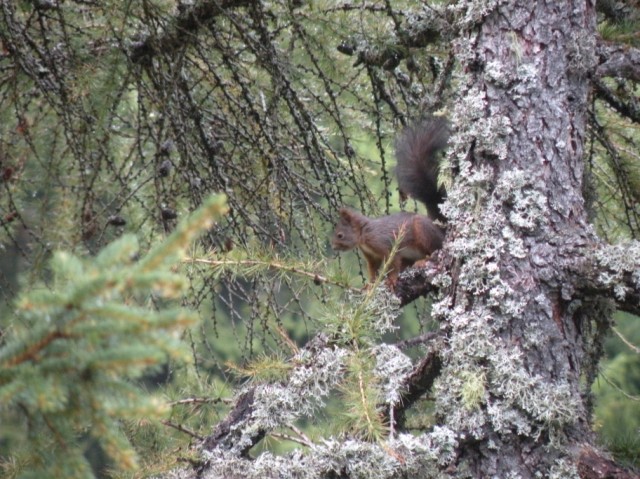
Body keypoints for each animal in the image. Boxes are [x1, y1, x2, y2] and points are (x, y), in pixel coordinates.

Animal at [332, 117, 448, 286]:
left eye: (340, 235)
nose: (333, 247)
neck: (364, 234)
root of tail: (440, 228)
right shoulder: (371, 256)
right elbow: (373, 269)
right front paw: (370, 285)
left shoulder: (384, 245)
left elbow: (392, 263)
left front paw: (392, 280)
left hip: (424, 231)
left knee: (435, 251)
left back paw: (424, 261)